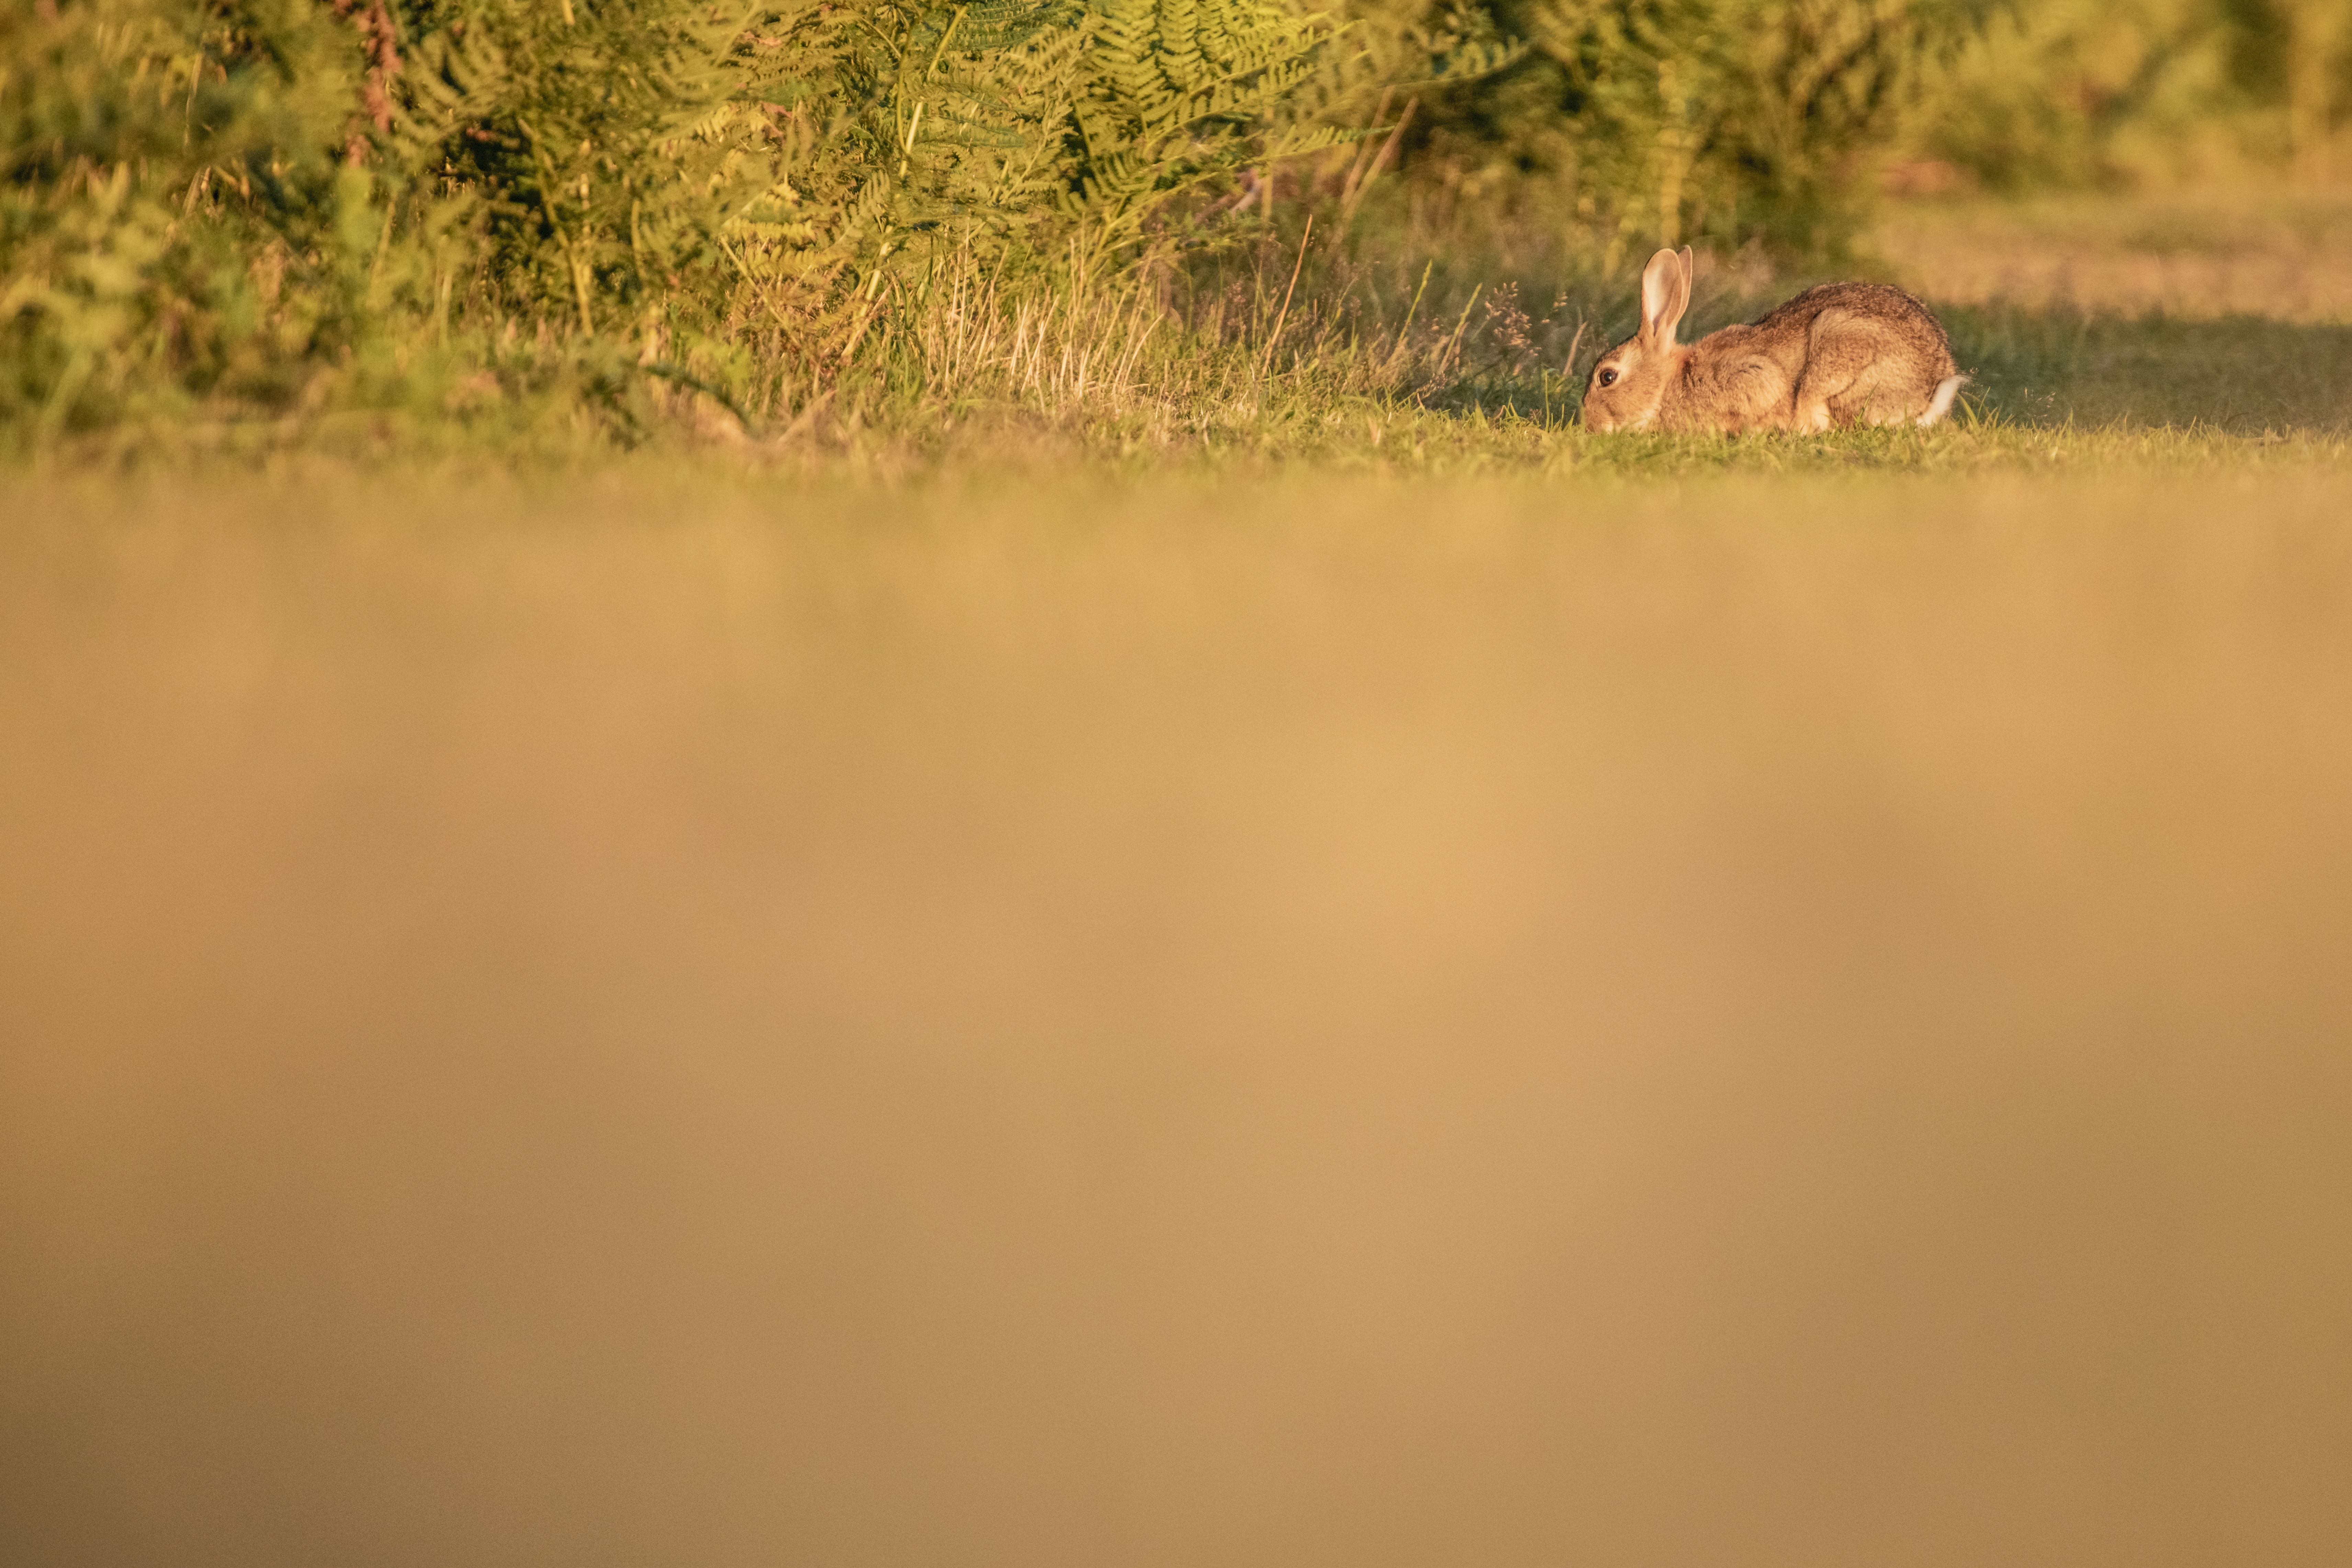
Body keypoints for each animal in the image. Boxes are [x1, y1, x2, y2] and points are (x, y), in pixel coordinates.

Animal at [1580, 248, 1966, 439]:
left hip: (1836, 363)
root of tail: (1929, 392)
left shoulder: (1752, 377)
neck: (1666, 386)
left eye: (1607, 377)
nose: (1589, 426)